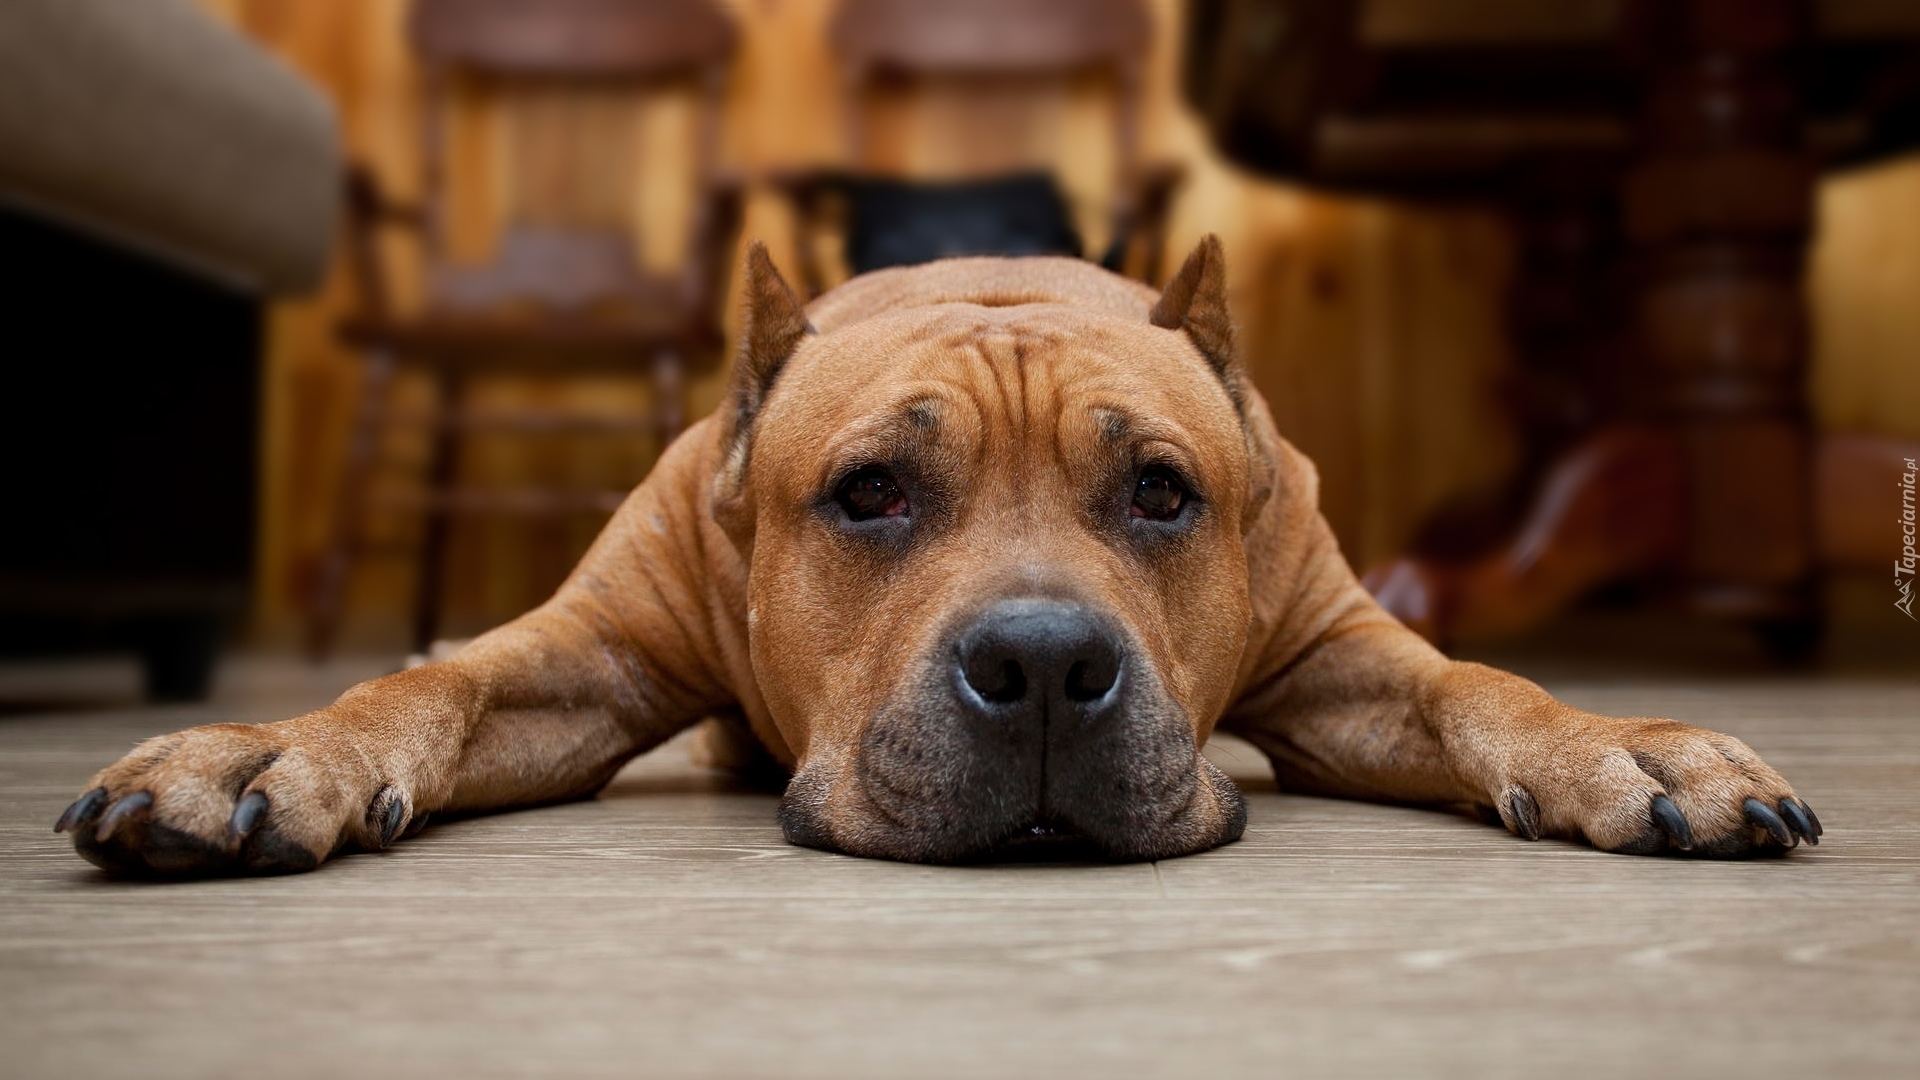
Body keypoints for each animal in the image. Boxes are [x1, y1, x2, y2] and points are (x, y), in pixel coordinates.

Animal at [52, 239, 1820, 868]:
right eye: (869, 494)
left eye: (1163, 493)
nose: (1041, 668)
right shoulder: (582, 658)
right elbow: (426, 689)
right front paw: (270, 748)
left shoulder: (1347, 657)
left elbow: (1479, 687)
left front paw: (1626, 747)